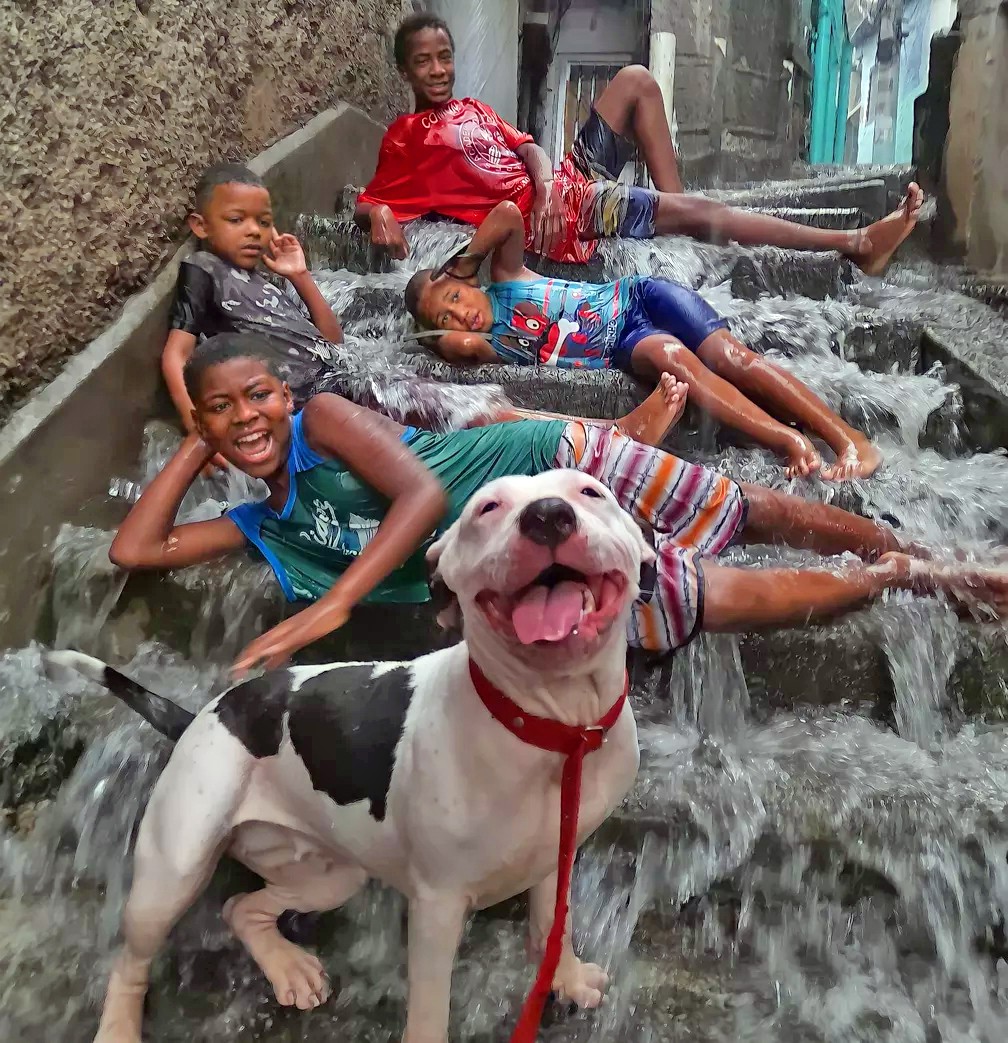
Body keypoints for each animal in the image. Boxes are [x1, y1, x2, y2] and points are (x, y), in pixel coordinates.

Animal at [49, 473, 655, 1043]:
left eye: (590, 492)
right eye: (487, 507)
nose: (548, 515)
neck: (556, 729)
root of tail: (201, 714)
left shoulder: (559, 858)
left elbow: (556, 922)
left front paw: (567, 978)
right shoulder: (437, 907)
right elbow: (429, 1013)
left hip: (330, 873)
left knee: (239, 907)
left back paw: (287, 968)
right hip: (175, 869)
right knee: (131, 958)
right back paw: (119, 1027)